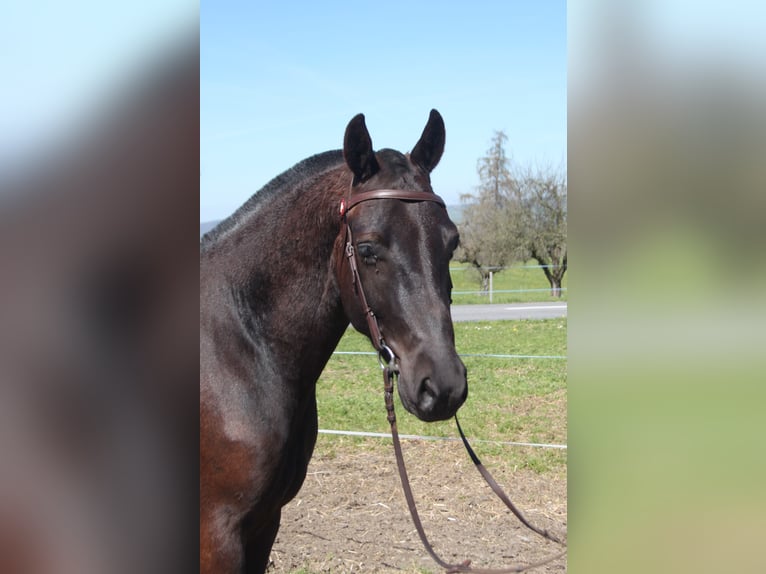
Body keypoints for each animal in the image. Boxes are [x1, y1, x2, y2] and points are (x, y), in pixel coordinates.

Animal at [200, 109, 468, 573]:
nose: (444, 386)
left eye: (451, 242)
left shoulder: (265, 523)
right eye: (367, 248)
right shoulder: (217, 536)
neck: (236, 349)